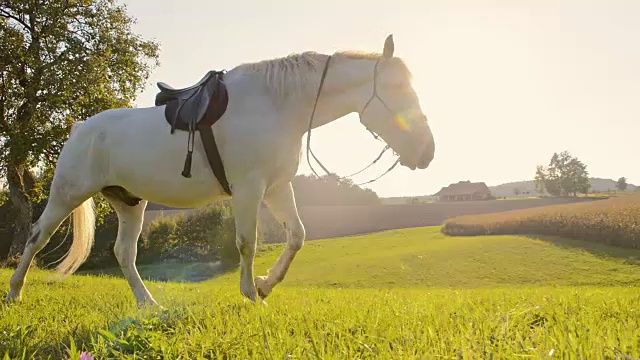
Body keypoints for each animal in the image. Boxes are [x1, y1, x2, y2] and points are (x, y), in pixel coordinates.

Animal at [6, 35, 436, 306]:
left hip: (130, 203)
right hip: (67, 194)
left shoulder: (277, 187)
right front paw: (251, 294)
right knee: (37, 237)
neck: (277, 105)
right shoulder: (249, 189)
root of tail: (80, 128)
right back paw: (14, 292)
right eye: (399, 89)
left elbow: (297, 236)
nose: (427, 152)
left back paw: (149, 305)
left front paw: (265, 285)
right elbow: (247, 242)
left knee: (124, 253)